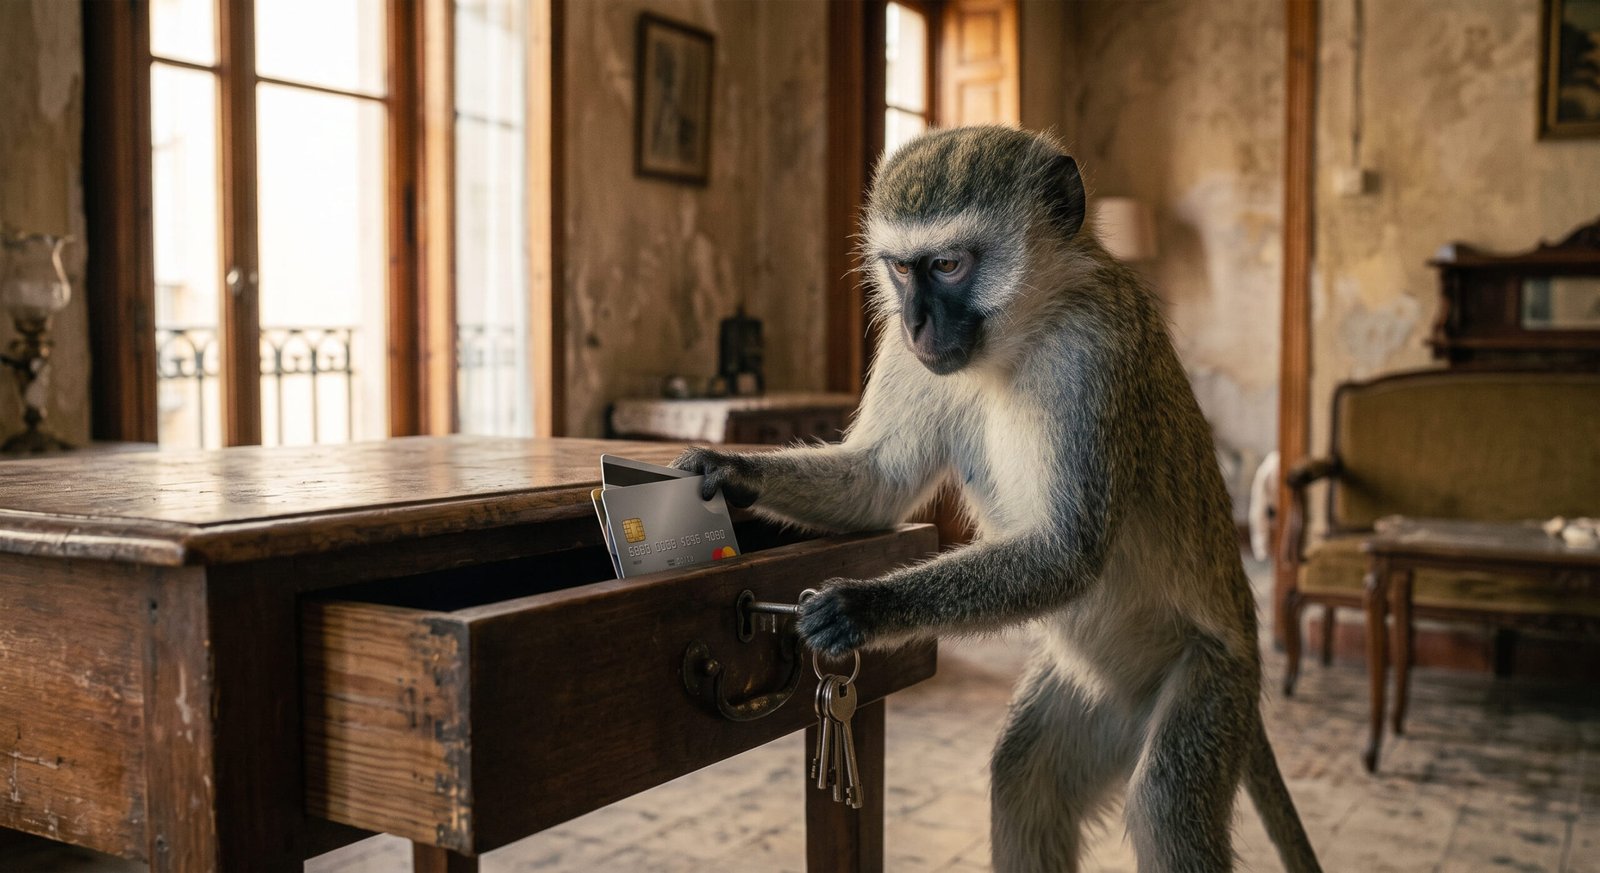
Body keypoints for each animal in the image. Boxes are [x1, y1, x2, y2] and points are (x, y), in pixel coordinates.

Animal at [674, 126, 1321, 873]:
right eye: (901, 271)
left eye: (949, 264)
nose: (916, 323)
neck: (1023, 334)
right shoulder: (909, 357)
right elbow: (874, 483)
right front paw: (726, 469)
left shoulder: (1094, 351)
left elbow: (1066, 553)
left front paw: (862, 605)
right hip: (1104, 699)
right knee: (1024, 774)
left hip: (1214, 685)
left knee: (1164, 800)